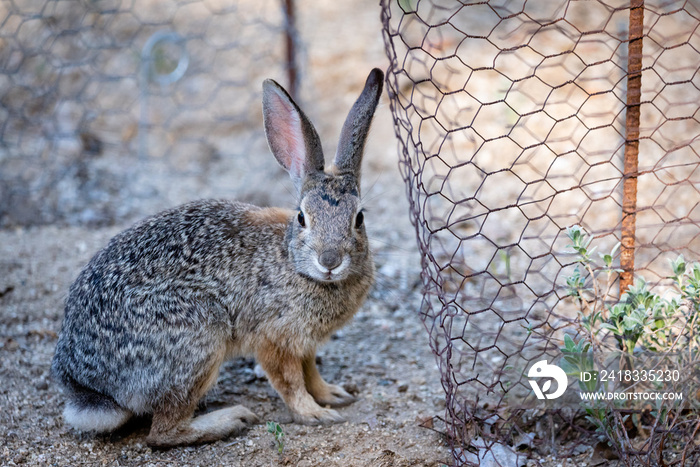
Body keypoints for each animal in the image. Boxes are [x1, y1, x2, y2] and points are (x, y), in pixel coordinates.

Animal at [52, 67, 386, 448]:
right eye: (302, 218)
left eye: (359, 218)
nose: (329, 261)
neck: (291, 261)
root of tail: (89, 388)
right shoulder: (274, 338)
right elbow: (290, 382)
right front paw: (315, 414)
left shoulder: (306, 344)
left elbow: (311, 372)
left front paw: (333, 395)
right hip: (199, 336)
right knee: (163, 432)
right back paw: (230, 419)